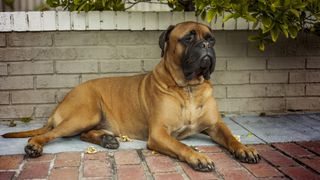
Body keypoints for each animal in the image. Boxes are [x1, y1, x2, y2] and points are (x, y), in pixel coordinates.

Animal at [3, 21, 260, 172]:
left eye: (211, 38)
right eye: (188, 38)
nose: (207, 45)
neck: (189, 88)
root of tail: (66, 96)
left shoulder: (215, 125)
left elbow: (231, 137)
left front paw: (244, 149)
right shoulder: (159, 134)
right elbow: (181, 145)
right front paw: (199, 157)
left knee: (84, 133)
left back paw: (106, 140)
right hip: (84, 114)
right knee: (48, 134)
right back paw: (34, 147)